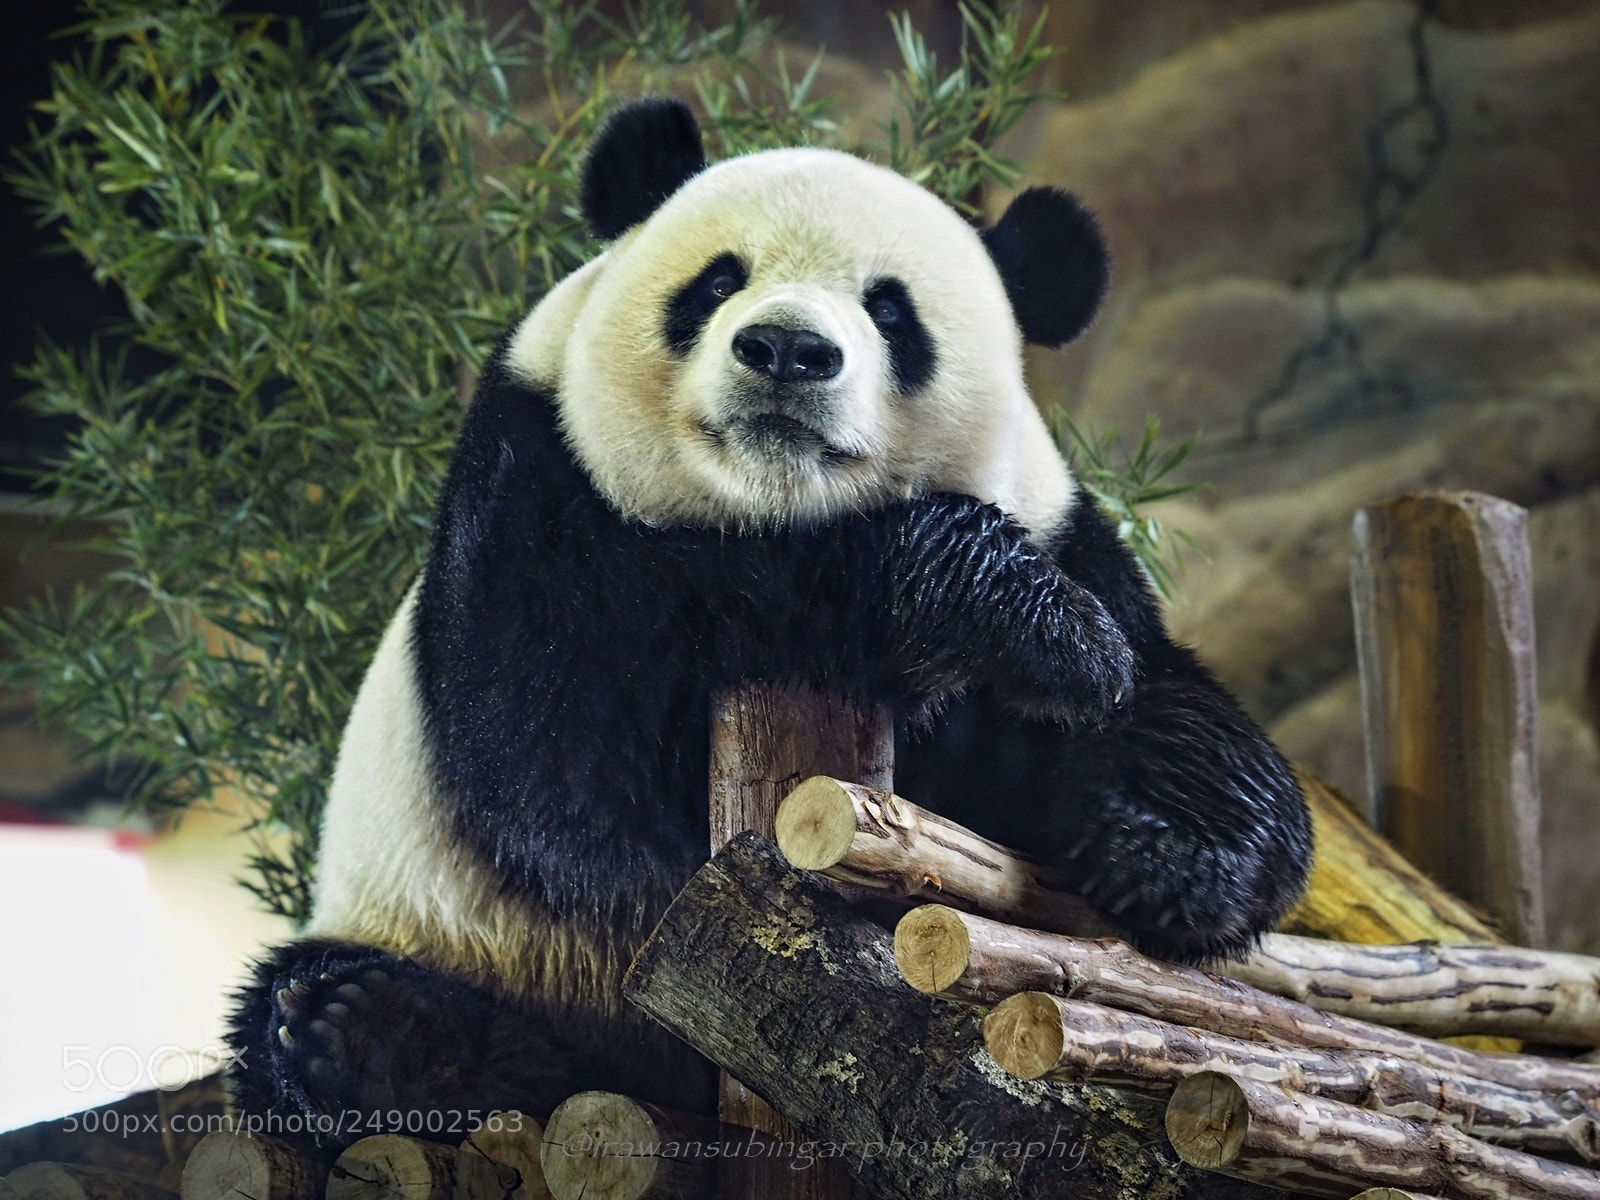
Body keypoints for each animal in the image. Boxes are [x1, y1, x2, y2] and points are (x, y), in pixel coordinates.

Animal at [228, 98, 1311, 1139]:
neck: (767, 513)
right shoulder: (527, 489)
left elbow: (1159, 705)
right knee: (296, 1013)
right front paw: (1002, 613)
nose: (787, 349)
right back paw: (382, 1037)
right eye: (716, 283)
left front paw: (1165, 846)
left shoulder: (1065, 531)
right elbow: (562, 763)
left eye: (890, 309)